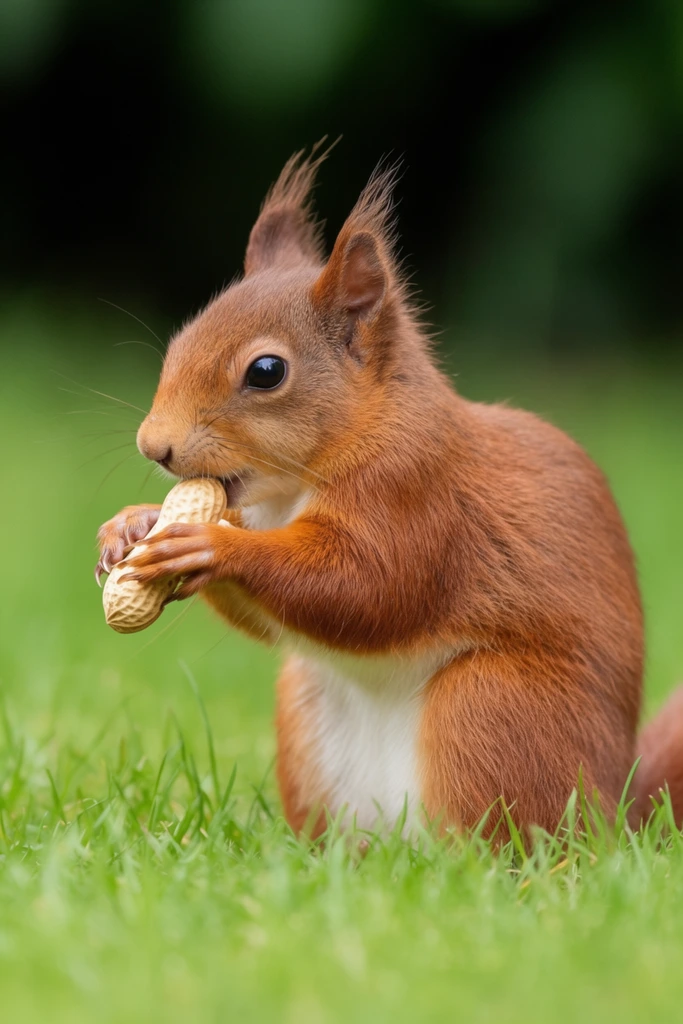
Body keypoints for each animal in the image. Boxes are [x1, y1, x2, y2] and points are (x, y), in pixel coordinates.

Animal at [96, 144, 683, 841]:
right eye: (180, 341)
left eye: (266, 372)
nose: (152, 446)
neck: (298, 484)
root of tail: (618, 815)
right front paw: (131, 526)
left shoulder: (416, 490)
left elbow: (369, 585)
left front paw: (208, 545)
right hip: (308, 711)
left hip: (492, 707)